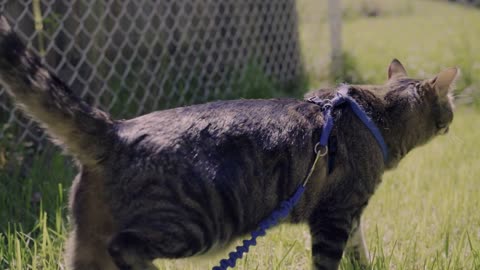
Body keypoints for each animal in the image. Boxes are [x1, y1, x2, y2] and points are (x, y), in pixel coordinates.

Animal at [0, 15, 458, 270]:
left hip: (88, 242)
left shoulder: (350, 214)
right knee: (127, 246)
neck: (372, 113)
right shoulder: (335, 214)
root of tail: (115, 129)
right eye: (451, 106)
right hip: (198, 221)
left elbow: (358, 252)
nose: (452, 120)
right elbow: (331, 259)